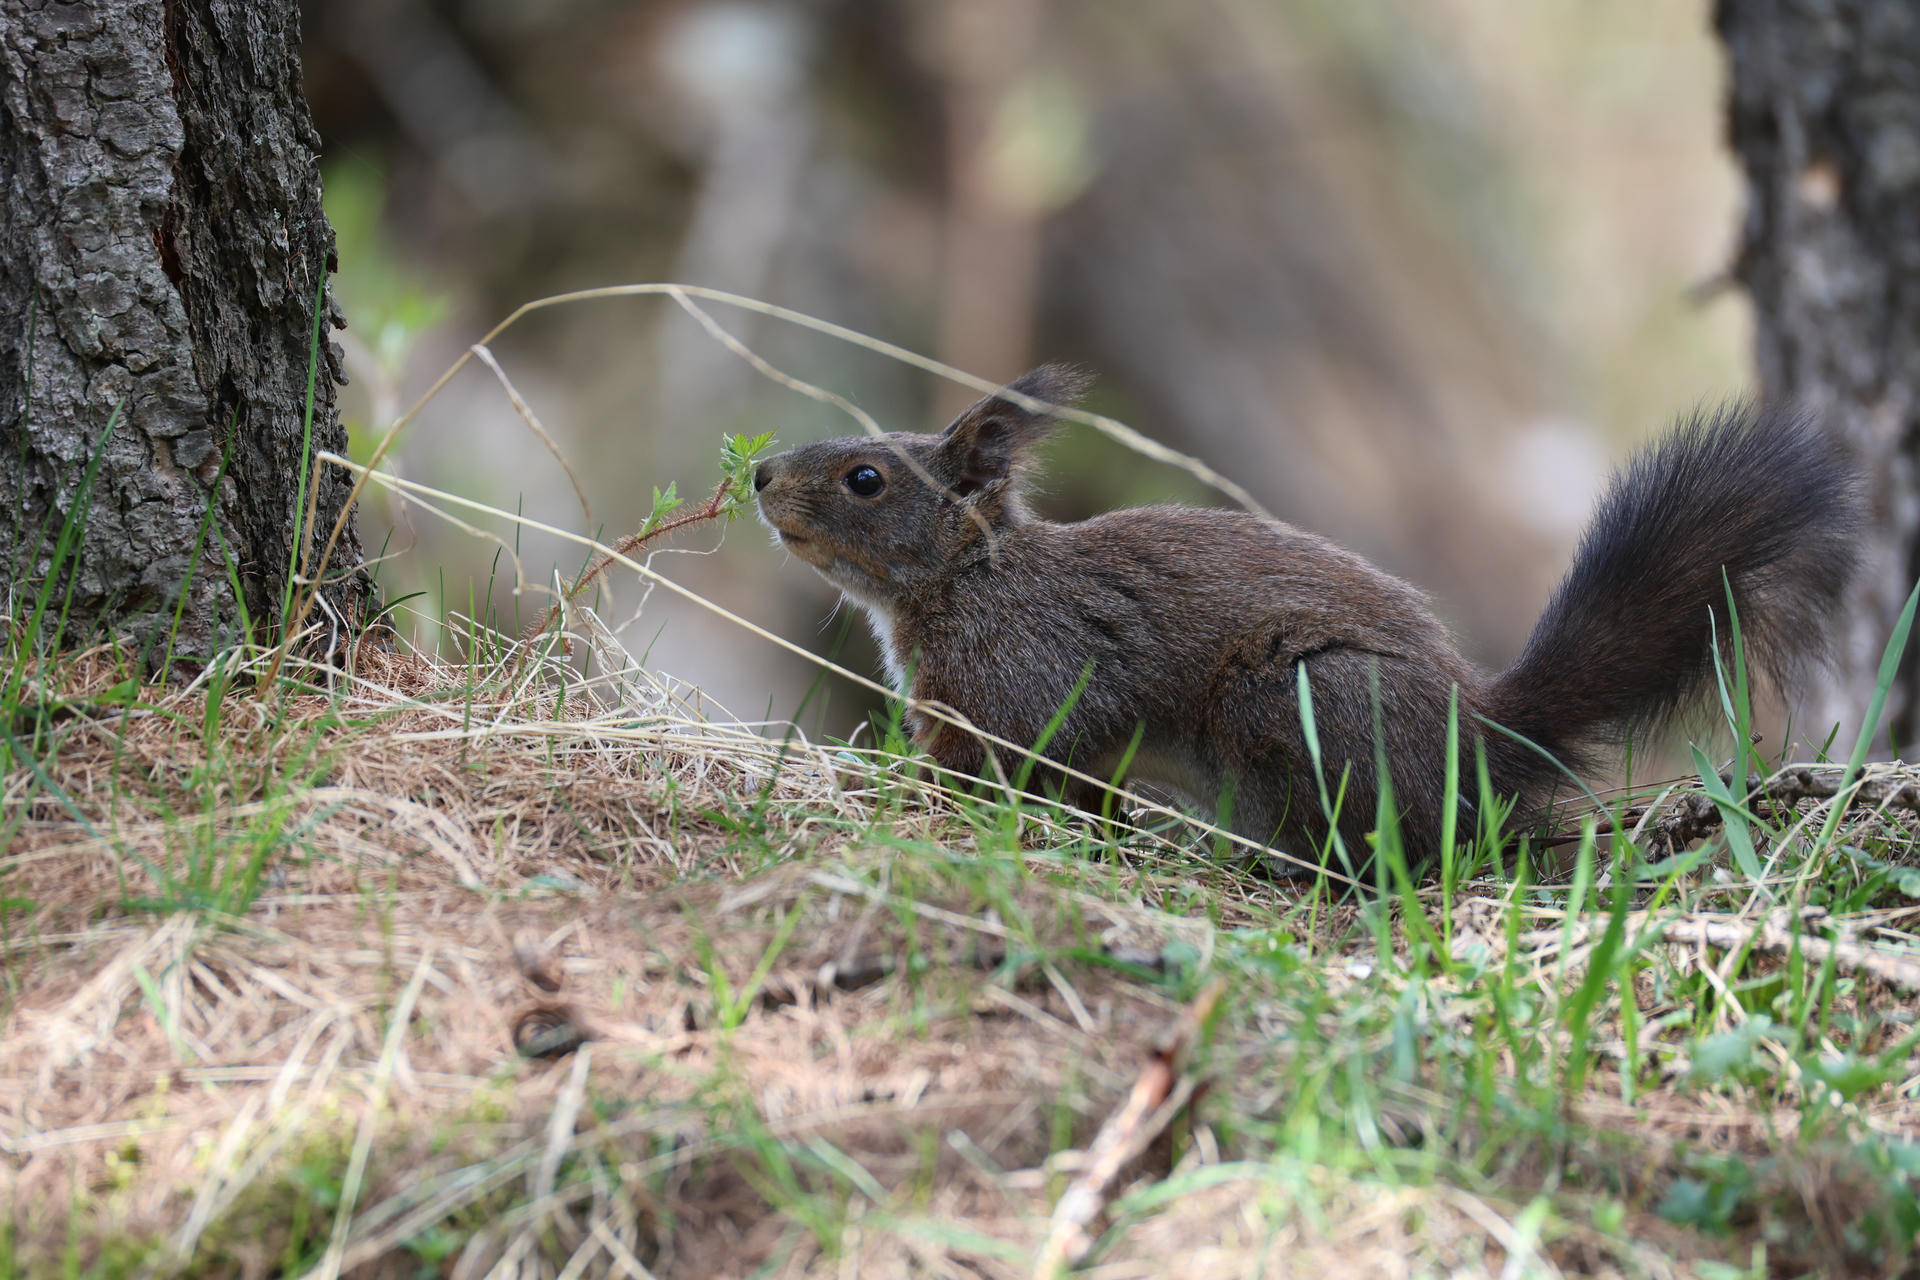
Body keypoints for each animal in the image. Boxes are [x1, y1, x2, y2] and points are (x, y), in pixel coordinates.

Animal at [754, 365, 1865, 876]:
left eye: (865, 479)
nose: (759, 474)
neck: (967, 582)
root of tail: (1480, 730)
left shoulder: (1030, 680)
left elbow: (1021, 768)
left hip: (1292, 698)